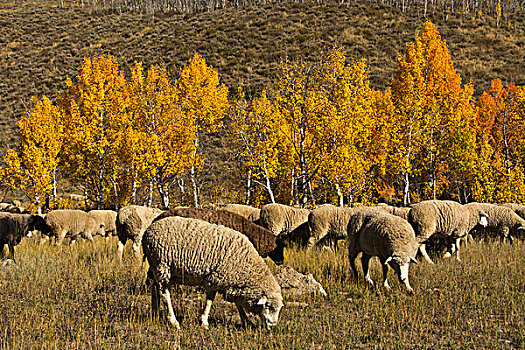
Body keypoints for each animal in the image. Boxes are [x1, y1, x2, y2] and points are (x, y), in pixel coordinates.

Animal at [142, 216, 282, 330]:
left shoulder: (230, 282)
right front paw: (204, 322)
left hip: (157, 267)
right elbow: (209, 301)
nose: (273, 327)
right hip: (162, 266)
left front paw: (247, 321)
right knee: (164, 293)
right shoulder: (214, 279)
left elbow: (237, 303)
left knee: (155, 287)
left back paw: (155, 312)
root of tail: (148, 230)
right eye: (269, 307)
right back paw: (173, 321)